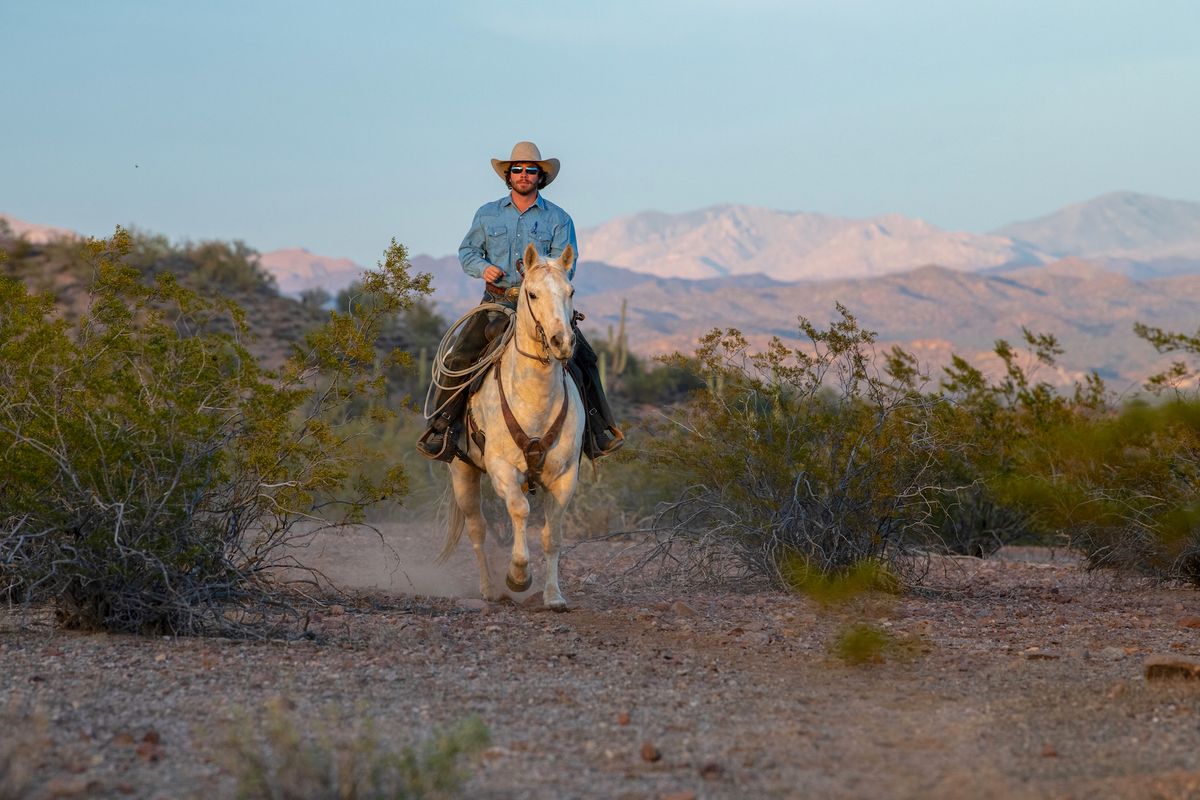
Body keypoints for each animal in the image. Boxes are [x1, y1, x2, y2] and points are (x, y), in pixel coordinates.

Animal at [444, 244, 588, 614]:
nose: (562, 342)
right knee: (478, 529)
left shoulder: (565, 476)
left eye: (571, 291)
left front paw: (553, 596)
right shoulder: (502, 469)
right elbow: (519, 510)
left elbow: (552, 534)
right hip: (463, 473)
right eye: (533, 293)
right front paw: (518, 576)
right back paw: (490, 589)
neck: (534, 399)